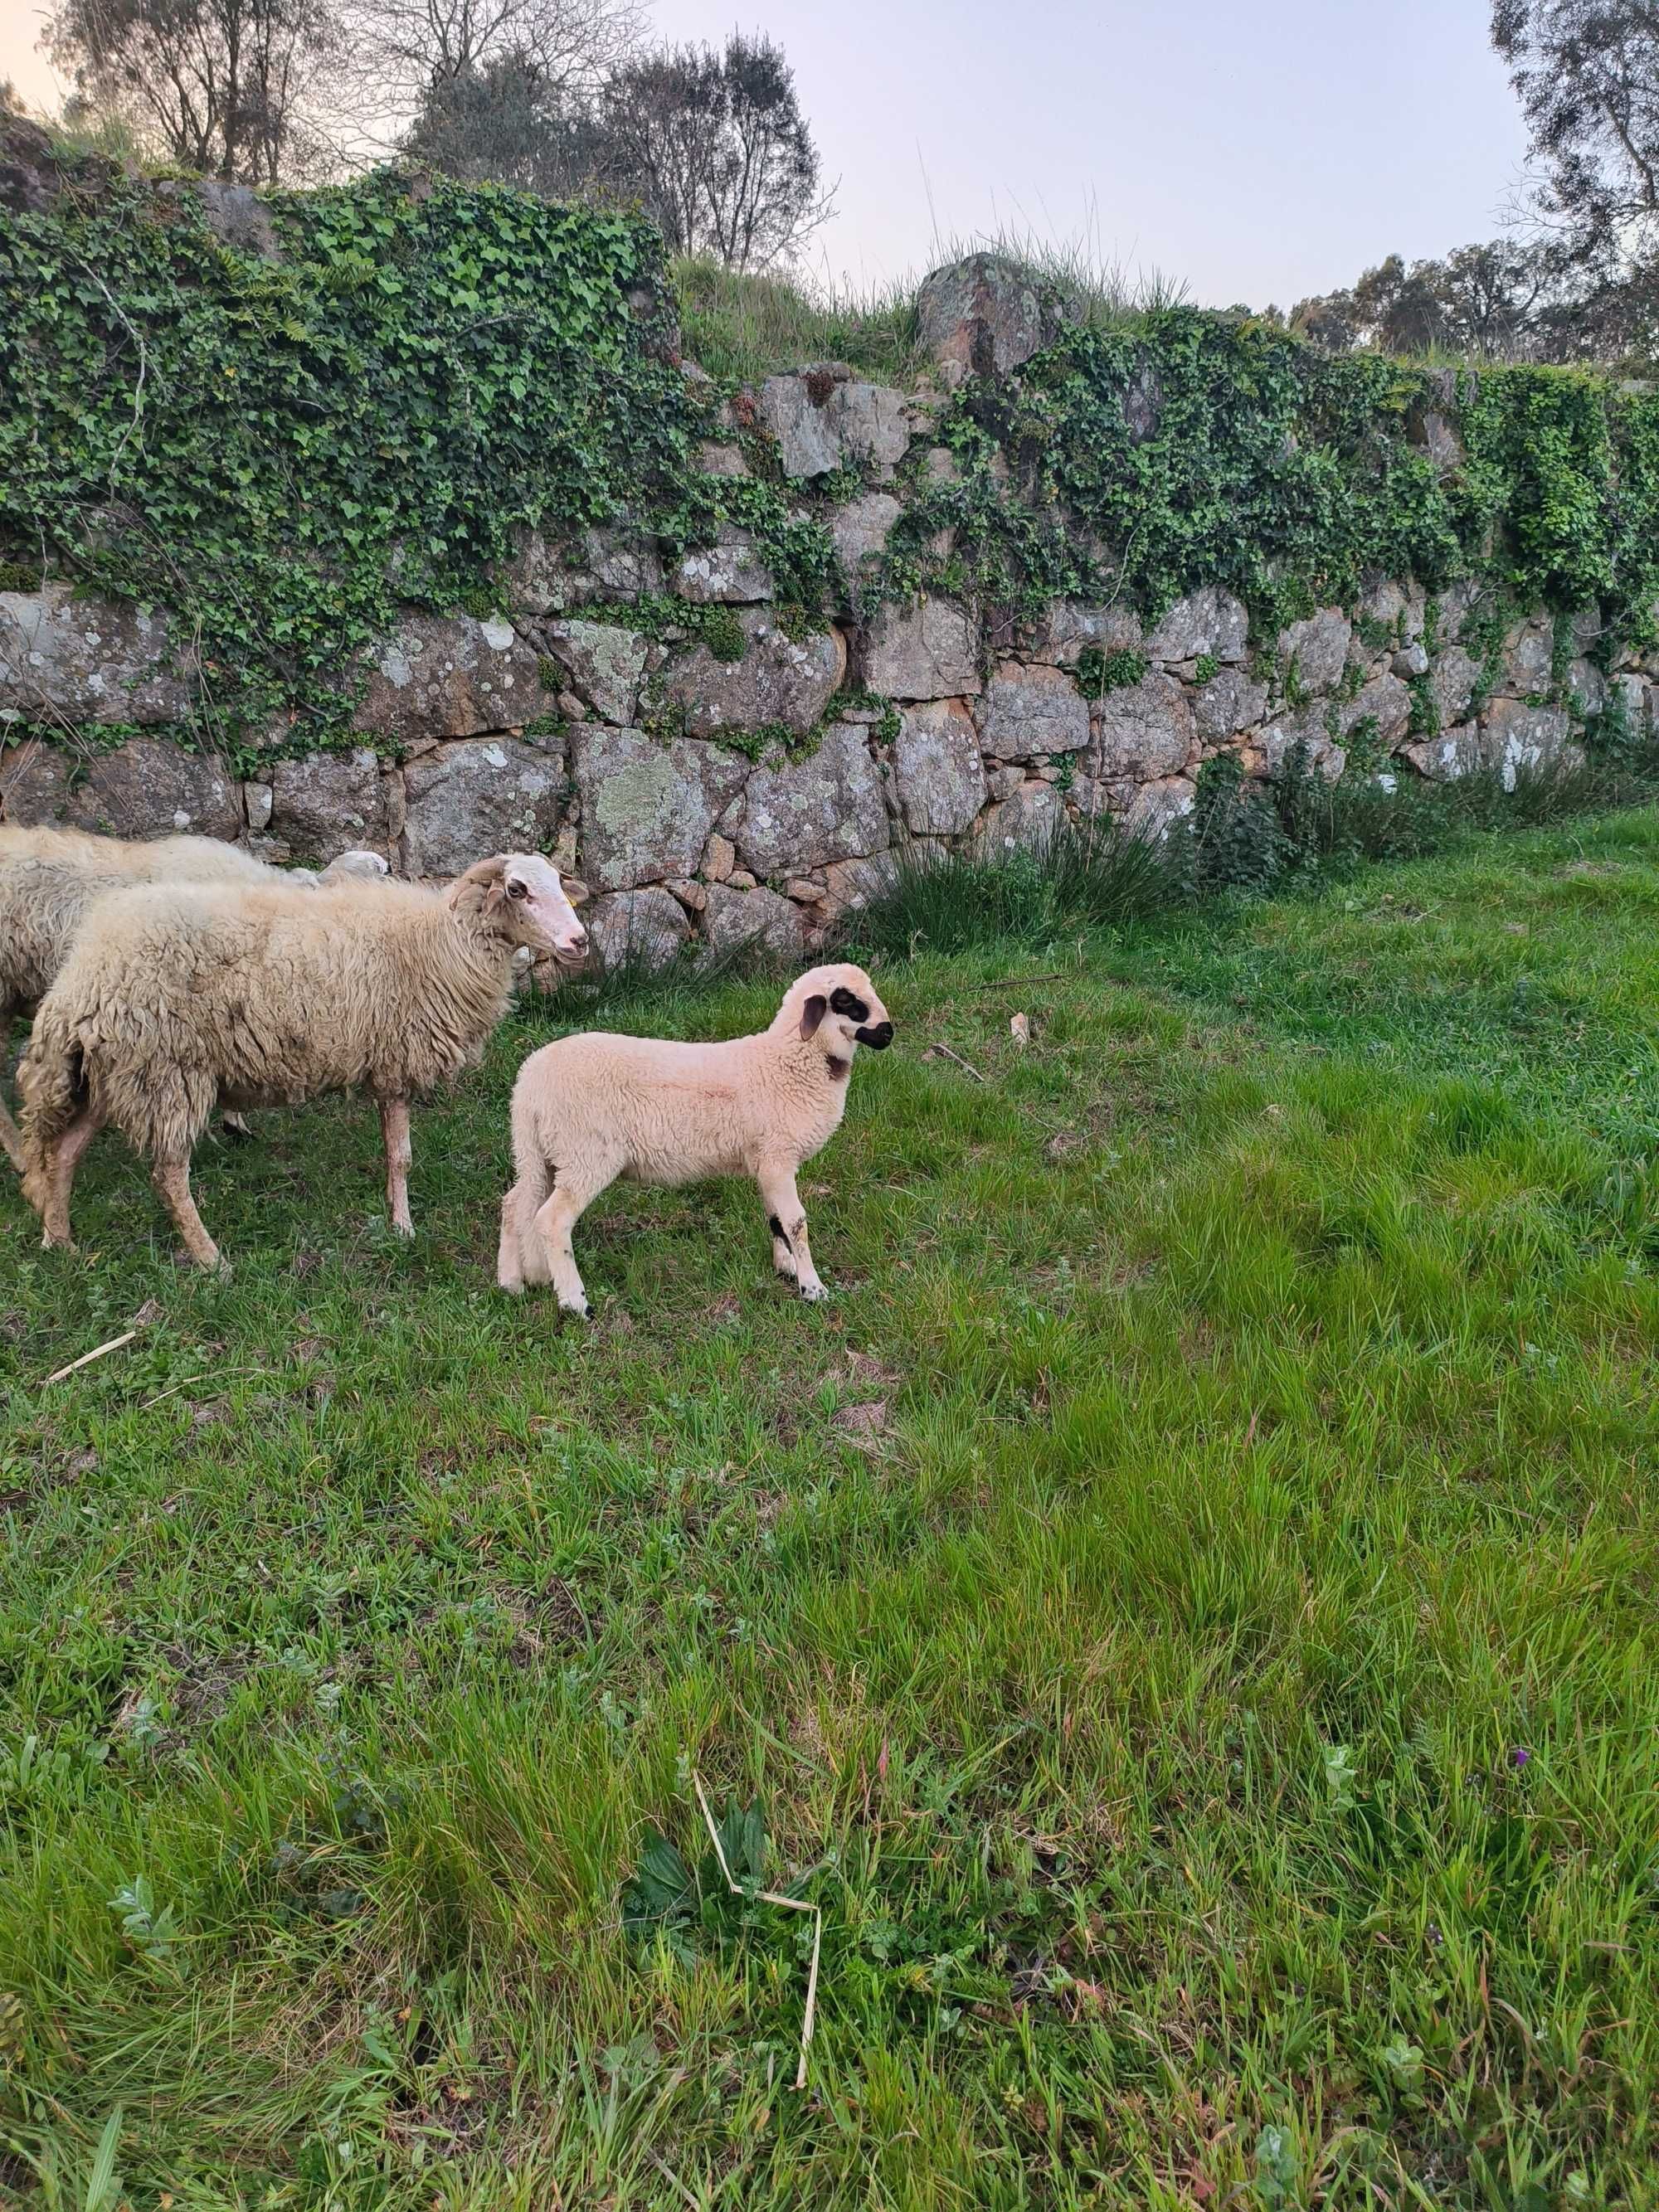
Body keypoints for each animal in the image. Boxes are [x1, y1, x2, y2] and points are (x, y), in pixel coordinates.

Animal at [498, 955, 898, 1309]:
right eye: (846, 1000)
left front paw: (785, 1269)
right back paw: (574, 1301)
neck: (785, 1064)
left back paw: (512, 1284)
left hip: (542, 1154)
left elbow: (776, 1220)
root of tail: (529, 1084)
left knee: (516, 1203)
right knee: (552, 1220)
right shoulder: (778, 1156)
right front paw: (812, 1288)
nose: (888, 1033)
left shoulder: (766, 1162)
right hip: (585, 1154)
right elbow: (796, 1223)